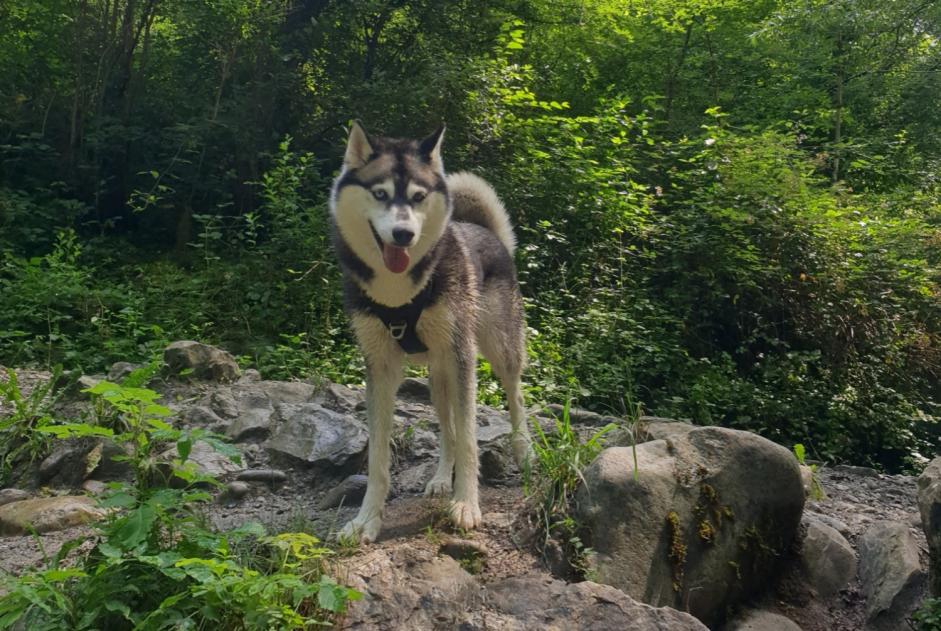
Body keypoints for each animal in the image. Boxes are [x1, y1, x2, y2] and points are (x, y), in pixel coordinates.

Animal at [332, 123, 532, 544]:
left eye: (418, 196)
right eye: (380, 193)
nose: (403, 234)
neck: (398, 293)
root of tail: (487, 233)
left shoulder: (463, 357)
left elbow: (470, 438)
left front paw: (467, 504)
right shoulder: (379, 367)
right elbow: (378, 456)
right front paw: (366, 520)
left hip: (498, 349)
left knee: (515, 397)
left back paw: (524, 452)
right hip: (438, 379)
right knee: (447, 429)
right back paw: (441, 479)